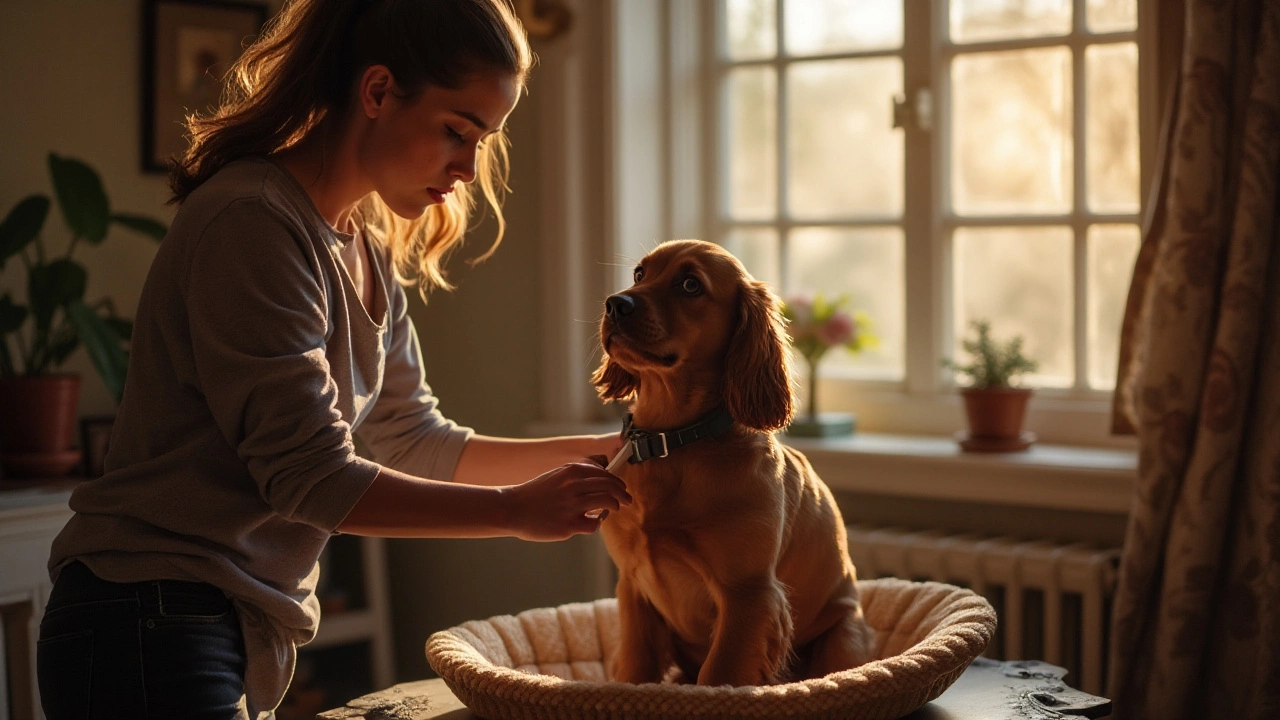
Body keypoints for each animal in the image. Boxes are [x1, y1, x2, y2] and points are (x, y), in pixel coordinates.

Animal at [591, 237, 875, 681]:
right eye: (639, 274)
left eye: (690, 285)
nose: (615, 304)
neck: (673, 441)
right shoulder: (632, 588)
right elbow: (636, 670)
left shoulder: (748, 595)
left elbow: (720, 676)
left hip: (844, 634)